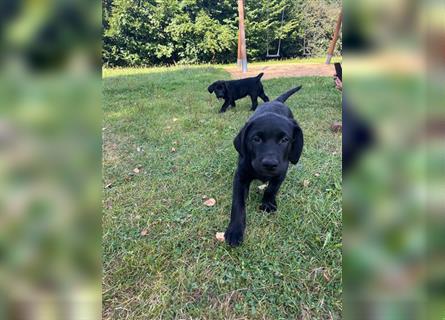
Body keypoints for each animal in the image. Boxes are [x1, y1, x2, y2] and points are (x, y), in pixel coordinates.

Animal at [224, 85, 304, 248]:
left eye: (285, 140)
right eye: (256, 139)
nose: (269, 163)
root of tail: (276, 101)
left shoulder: (281, 171)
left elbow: (272, 188)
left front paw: (267, 203)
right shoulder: (240, 176)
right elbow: (237, 204)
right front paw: (235, 230)